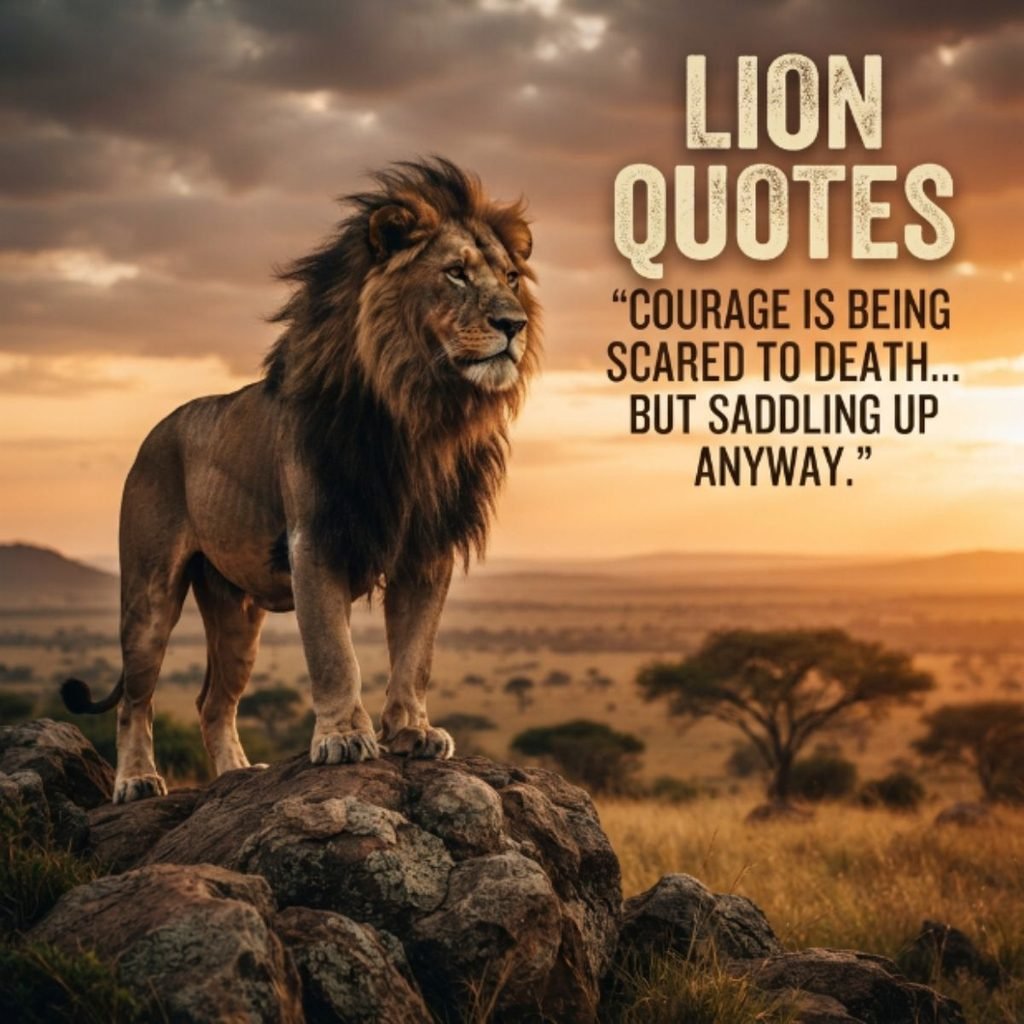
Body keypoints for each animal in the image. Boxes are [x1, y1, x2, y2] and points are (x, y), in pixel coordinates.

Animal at [61, 158, 539, 804]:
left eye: (511, 277)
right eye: (456, 273)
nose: (513, 323)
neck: (420, 409)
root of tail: (159, 429)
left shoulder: (426, 549)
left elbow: (416, 653)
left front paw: (413, 732)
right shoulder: (316, 537)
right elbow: (335, 653)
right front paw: (343, 739)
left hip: (236, 613)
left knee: (213, 702)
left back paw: (236, 776)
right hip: (149, 591)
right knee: (136, 698)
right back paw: (137, 780)